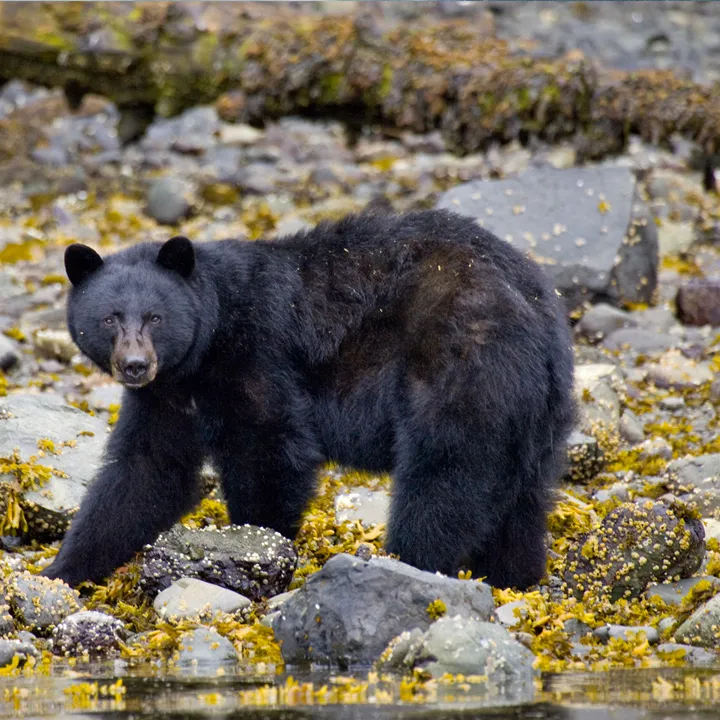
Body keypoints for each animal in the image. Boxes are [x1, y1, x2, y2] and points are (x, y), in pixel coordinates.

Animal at [43, 208, 572, 592]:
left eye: (155, 317)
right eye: (109, 318)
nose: (135, 365)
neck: (205, 349)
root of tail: (536, 303)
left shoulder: (258, 357)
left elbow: (271, 450)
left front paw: (256, 547)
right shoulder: (167, 396)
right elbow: (146, 472)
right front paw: (60, 570)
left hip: (461, 368)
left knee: (443, 478)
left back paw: (408, 562)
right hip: (535, 413)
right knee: (520, 500)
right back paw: (512, 577)